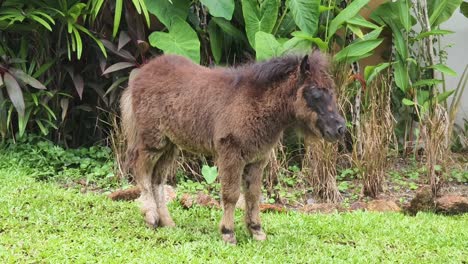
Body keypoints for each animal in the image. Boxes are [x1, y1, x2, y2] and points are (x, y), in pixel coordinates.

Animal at [120, 50, 346, 244]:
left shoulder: (258, 159)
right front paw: (228, 233)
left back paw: (167, 222)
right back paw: (151, 217)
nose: (340, 128)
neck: (255, 103)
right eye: (315, 94)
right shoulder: (231, 155)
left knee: (157, 180)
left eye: (332, 91)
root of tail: (140, 74)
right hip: (153, 141)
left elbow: (253, 195)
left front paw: (257, 231)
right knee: (141, 171)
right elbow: (231, 195)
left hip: (170, 145)